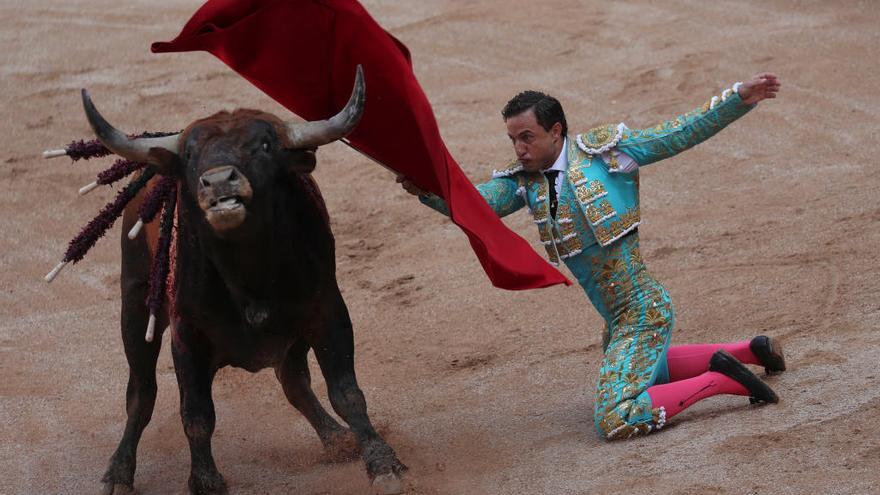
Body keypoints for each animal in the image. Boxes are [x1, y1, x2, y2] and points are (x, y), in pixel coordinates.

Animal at [81, 68, 404, 494]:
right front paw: (206, 481)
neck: (248, 275)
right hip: (134, 303)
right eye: (190, 155)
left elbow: (347, 392)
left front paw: (382, 463)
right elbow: (196, 415)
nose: (219, 182)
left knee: (292, 380)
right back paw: (118, 473)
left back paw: (337, 439)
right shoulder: (186, 335)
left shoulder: (328, 312)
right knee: (141, 392)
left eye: (264, 146)